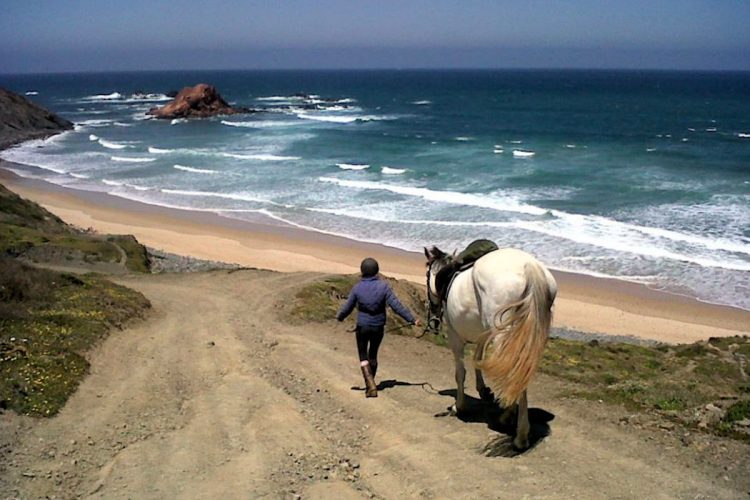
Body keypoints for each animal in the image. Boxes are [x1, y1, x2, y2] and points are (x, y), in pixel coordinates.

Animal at [424, 245, 560, 450]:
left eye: (426, 275)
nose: (433, 319)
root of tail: (529, 267)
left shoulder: (455, 337)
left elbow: (460, 372)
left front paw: (459, 406)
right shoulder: (483, 336)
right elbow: (478, 360)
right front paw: (482, 389)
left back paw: (519, 433)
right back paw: (511, 418)